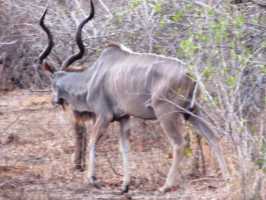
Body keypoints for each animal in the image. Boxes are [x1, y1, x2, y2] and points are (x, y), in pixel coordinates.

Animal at [37, 0, 229, 194]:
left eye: (52, 83)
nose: (54, 100)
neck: (91, 78)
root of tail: (190, 73)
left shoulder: (104, 116)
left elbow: (92, 140)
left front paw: (93, 180)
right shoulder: (124, 118)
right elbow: (124, 148)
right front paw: (125, 185)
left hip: (166, 113)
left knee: (179, 143)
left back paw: (165, 186)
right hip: (191, 111)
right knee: (212, 136)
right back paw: (227, 178)